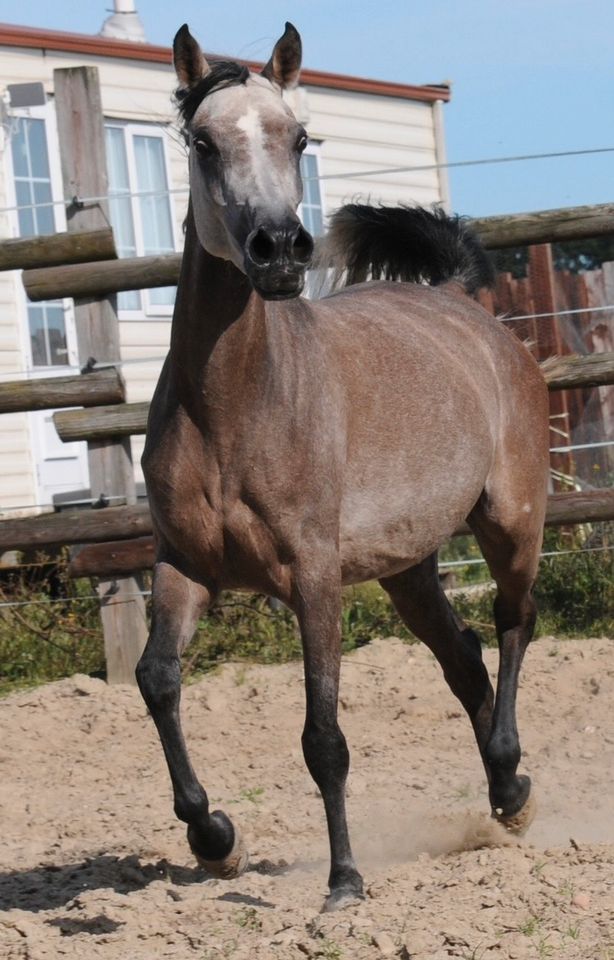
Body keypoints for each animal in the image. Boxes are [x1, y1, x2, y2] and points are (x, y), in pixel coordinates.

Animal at [137, 20, 552, 908]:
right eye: (202, 142)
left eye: (298, 137)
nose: (279, 249)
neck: (236, 408)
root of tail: (461, 302)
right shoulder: (184, 564)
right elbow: (157, 680)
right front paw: (215, 840)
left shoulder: (314, 574)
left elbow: (323, 735)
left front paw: (344, 885)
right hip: (408, 568)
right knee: (462, 656)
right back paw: (504, 797)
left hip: (513, 522)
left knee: (513, 623)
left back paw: (512, 784)